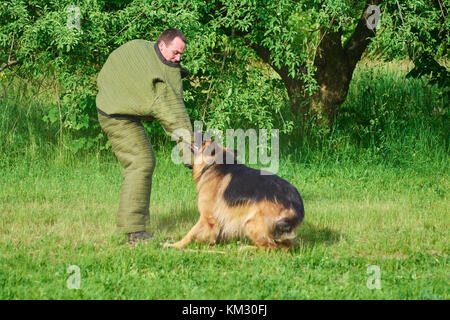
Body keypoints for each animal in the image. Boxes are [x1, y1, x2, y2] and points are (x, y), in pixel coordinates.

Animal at [163, 140, 304, 250]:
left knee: (270, 247)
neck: (212, 165)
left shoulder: (206, 218)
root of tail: (296, 202)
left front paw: (174, 245)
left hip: (250, 223)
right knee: (284, 246)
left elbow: (190, 234)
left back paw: (246, 248)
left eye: (204, 142)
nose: (199, 132)